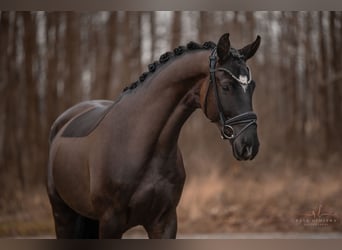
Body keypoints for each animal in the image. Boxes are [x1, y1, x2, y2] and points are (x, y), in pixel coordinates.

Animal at [46, 33, 262, 238]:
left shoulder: (164, 222)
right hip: (63, 215)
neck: (139, 143)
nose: (249, 145)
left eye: (252, 87)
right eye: (226, 86)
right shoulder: (110, 222)